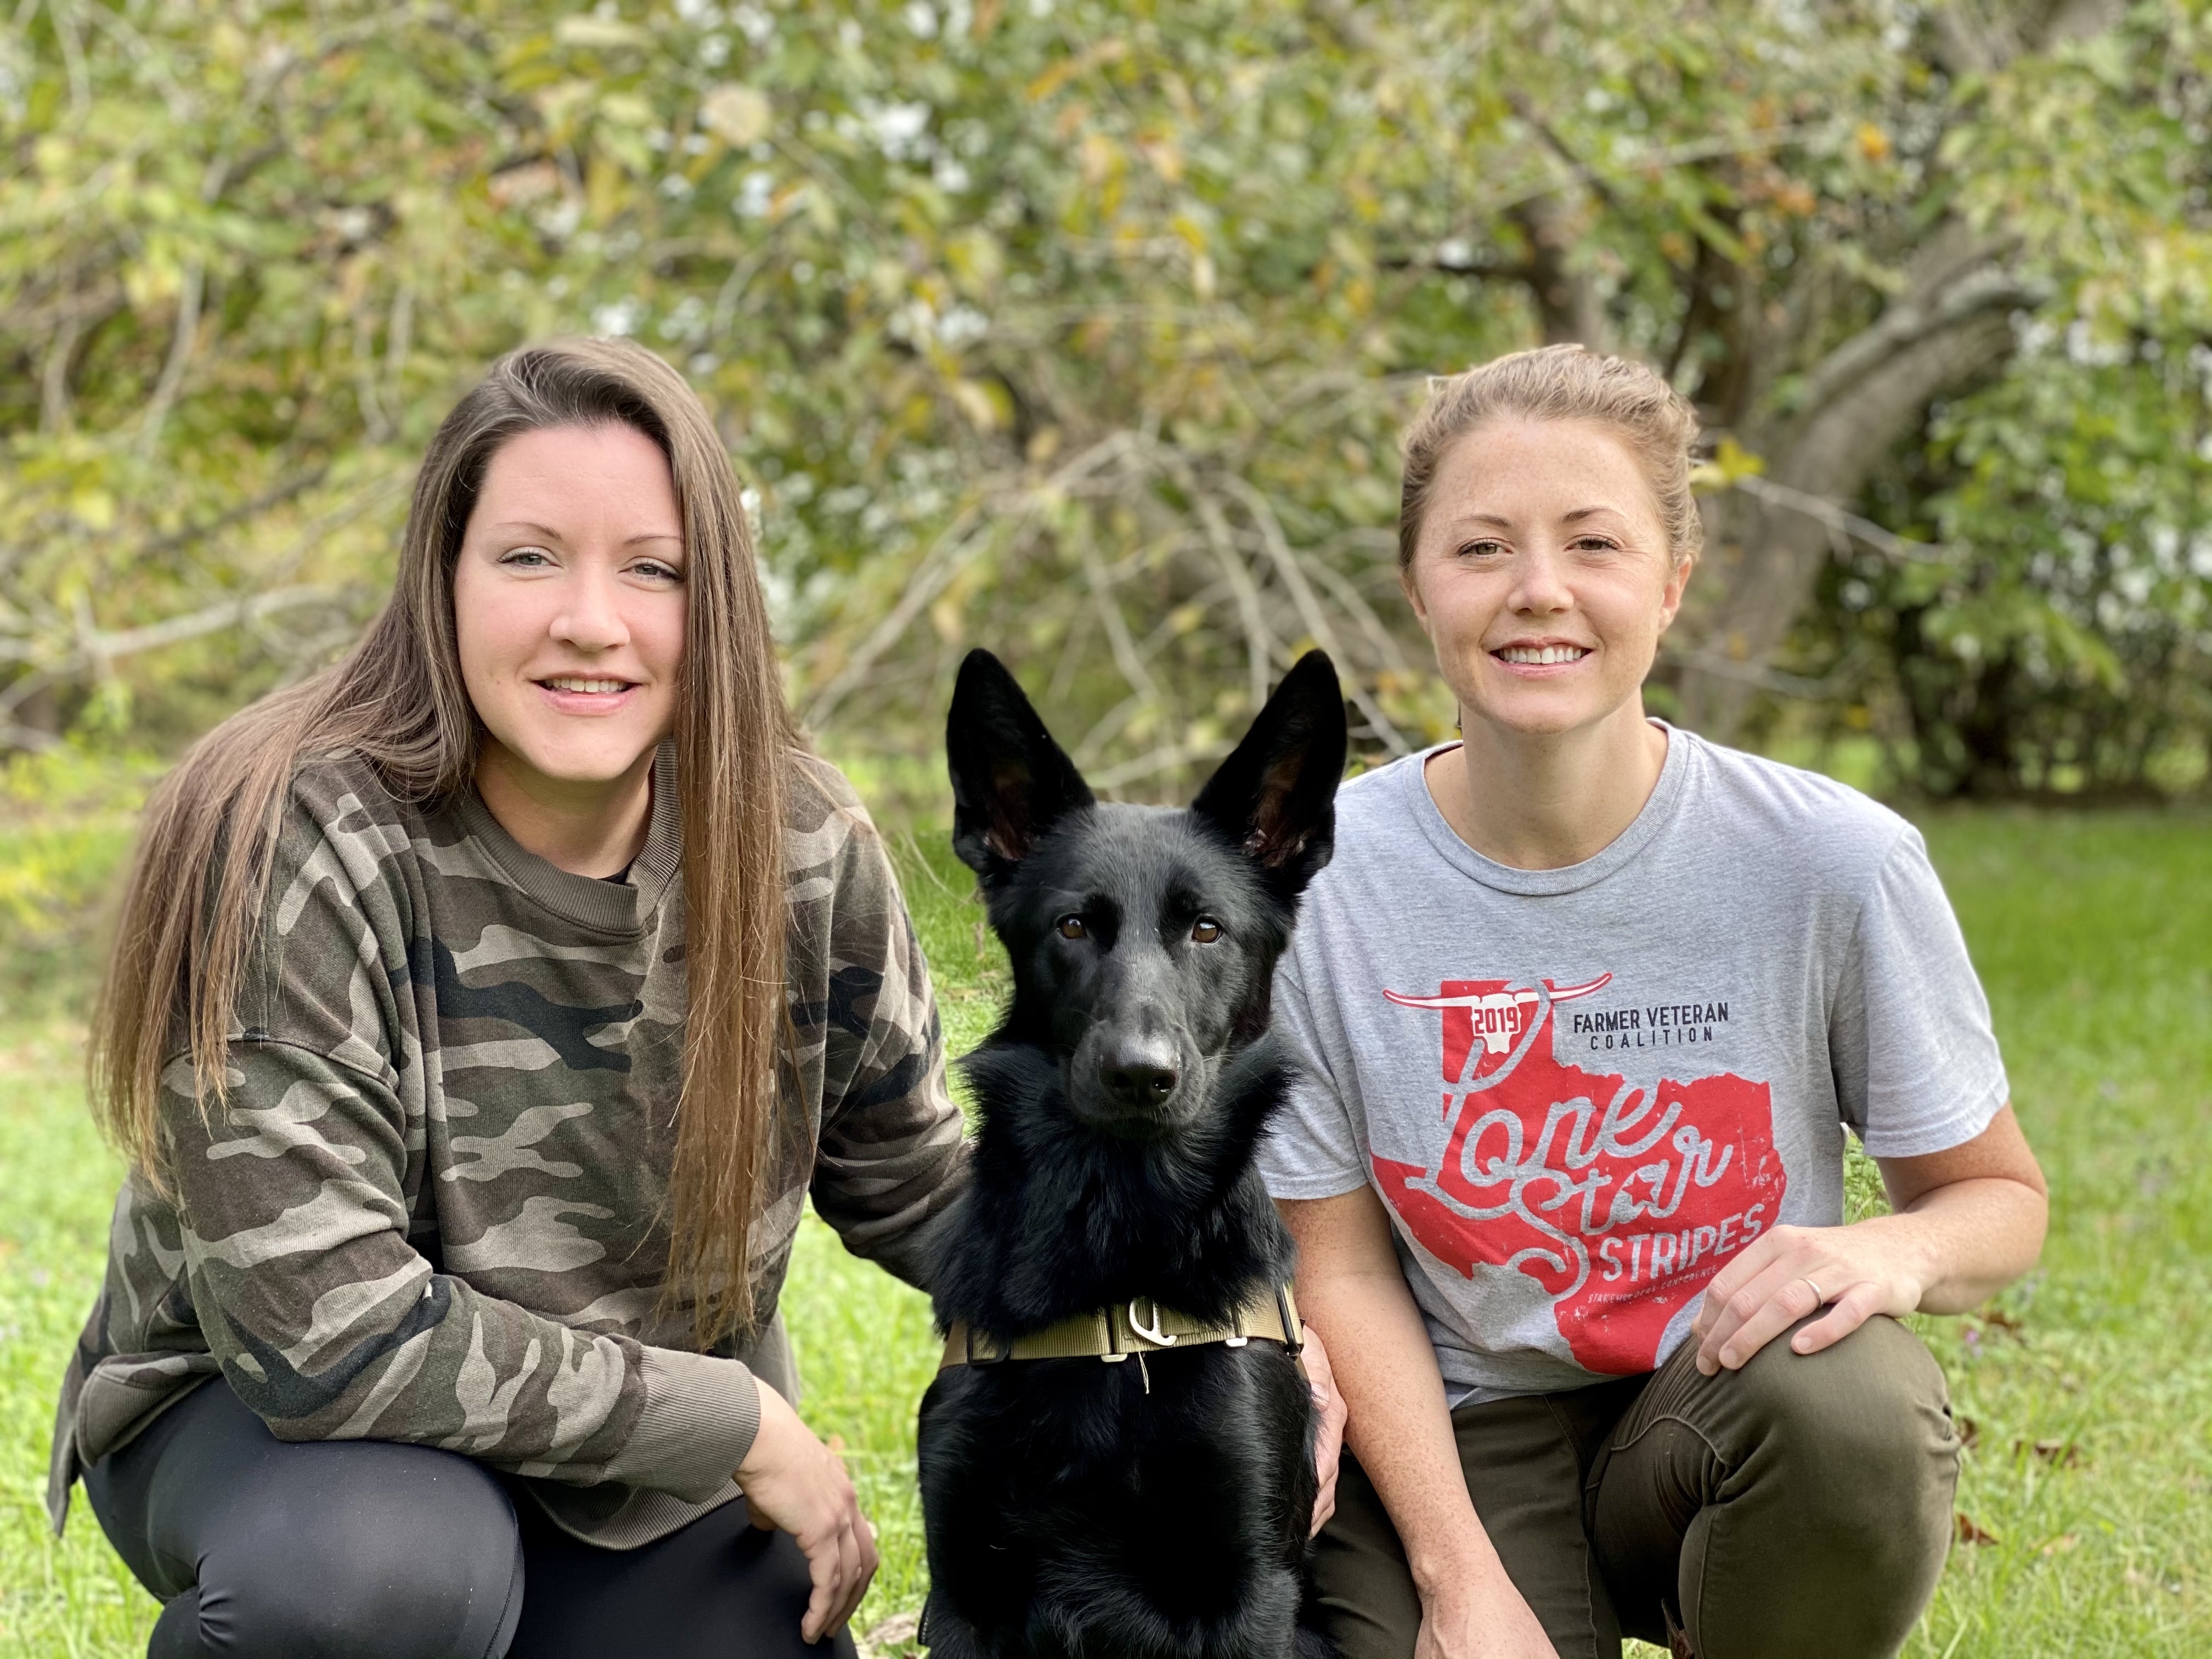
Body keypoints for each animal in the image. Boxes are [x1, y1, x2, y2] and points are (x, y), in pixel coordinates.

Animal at [907, 650, 1336, 1659]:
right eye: (1073, 926)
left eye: (1207, 929)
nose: (1141, 1073)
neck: (1117, 1230)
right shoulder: (965, 1595)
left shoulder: (1248, 1592)